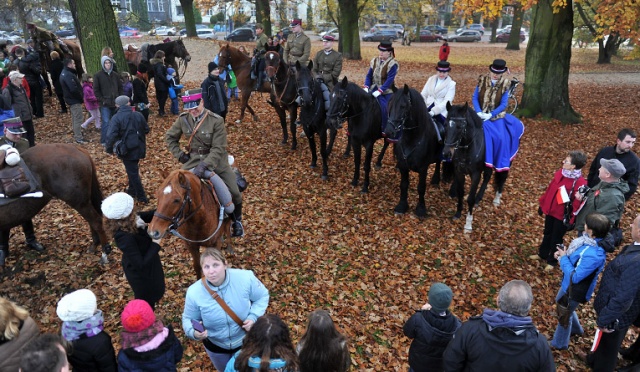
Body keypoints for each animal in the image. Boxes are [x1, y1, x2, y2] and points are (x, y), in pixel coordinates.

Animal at [382, 84, 442, 215]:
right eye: (390, 105)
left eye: (403, 106)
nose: (388, 131)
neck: (412, 139)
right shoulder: (403, 166)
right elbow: (404, 185)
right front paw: (402, 205)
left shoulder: (423, 168)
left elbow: (421, 187)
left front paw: (421, 209)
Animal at [444, 101, 510, 230]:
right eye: (446, 125)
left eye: (460, 127)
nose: (447, 153)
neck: (467, 147)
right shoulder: (459, 172)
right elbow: (460, 193)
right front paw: (458, 213)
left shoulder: (475, 174)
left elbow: (470, 198)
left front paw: (468, 224)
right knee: (488, 176)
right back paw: (479, 198)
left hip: (506, 160)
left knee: (503, 177)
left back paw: (496, 199)